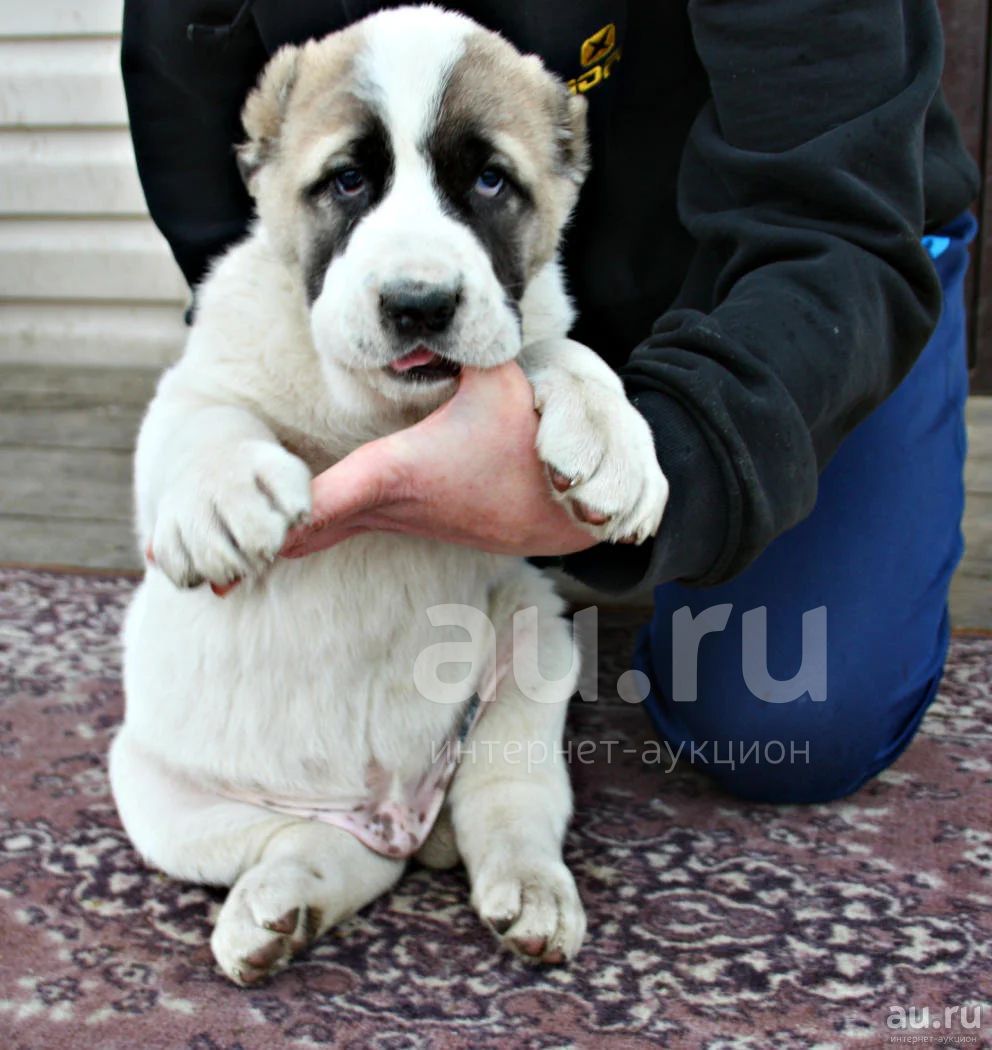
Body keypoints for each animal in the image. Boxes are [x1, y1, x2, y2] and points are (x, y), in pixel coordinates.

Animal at [108, 6, 667, 982]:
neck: (379, 414)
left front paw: (612, 438)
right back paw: (280, 903)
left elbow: (550, 347)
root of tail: (403, 809)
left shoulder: (519, 329)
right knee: (339, 853)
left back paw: (530, 888)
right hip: (155, 795)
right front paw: (218, 493)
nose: (419, 303)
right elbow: (203, 417)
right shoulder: (205, 376)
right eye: (347, 181)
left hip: (533, 650)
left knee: (506, 803)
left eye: (489, 180)